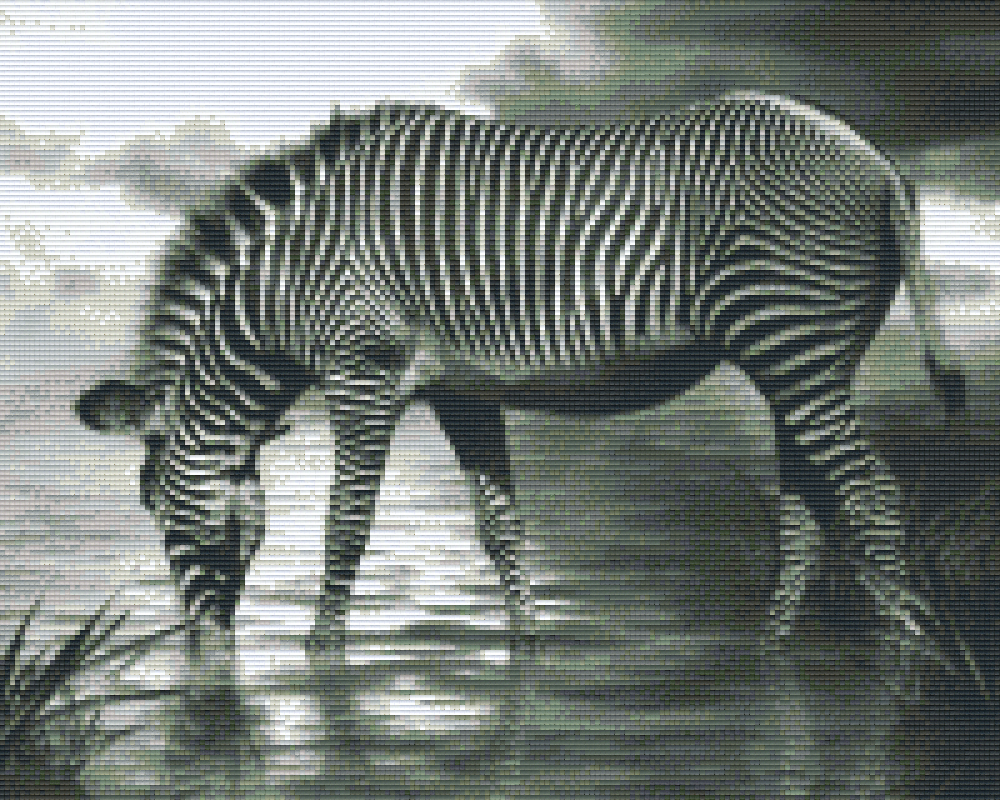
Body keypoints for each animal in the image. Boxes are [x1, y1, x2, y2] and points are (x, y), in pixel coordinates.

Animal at [75, 92, 986, 745]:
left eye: (157, 510)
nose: (205, 657)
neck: (286, 289)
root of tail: (876, 159)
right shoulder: (464, 389)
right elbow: (499, 525)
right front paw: (527, 648)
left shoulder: (361, 373)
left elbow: (347, 522)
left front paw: (321, 653)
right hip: (788, 360)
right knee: (804, 508)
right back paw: (771, 654)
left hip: (793, 341)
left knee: (871, 495)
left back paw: (904, 663)